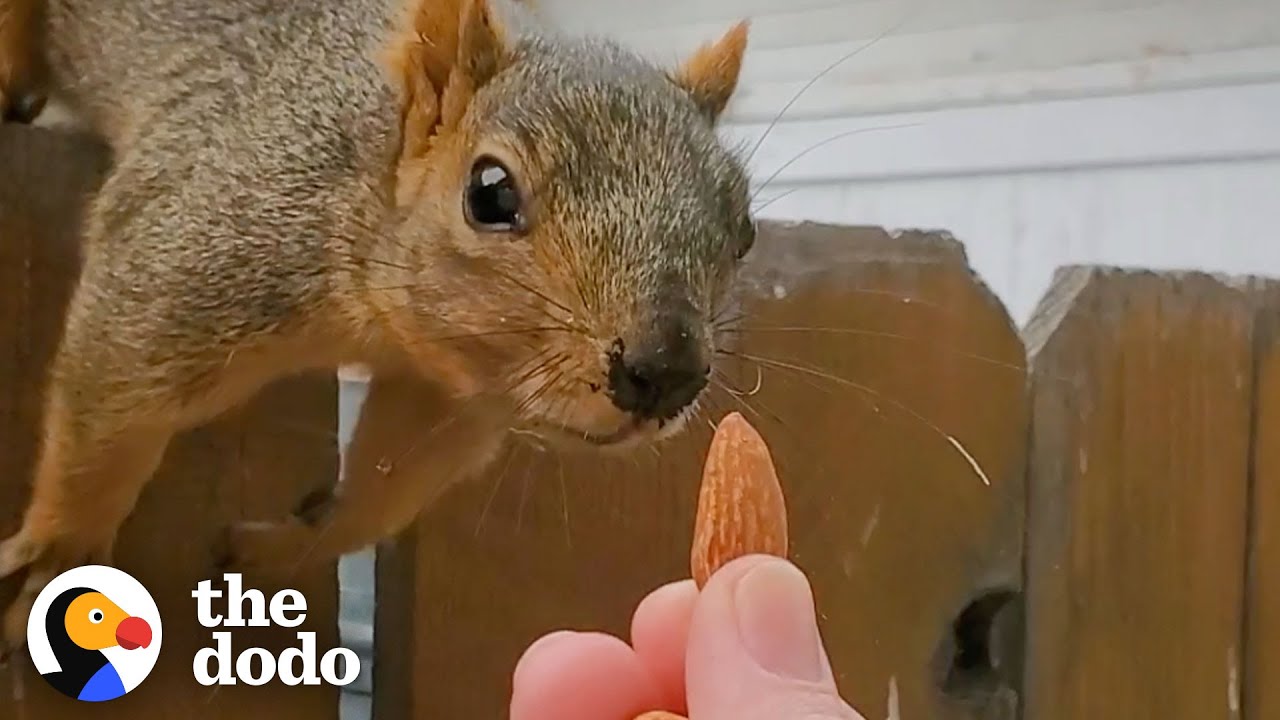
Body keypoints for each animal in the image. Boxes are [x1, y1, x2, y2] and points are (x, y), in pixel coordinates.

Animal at [0, 0, 757, 648]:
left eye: (744, 230)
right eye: (489, 193)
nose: (665, 371)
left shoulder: (442, 397)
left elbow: (384, 493)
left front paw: (284, 543)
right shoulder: (191, 250)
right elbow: (107, 410)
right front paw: (57, 560)